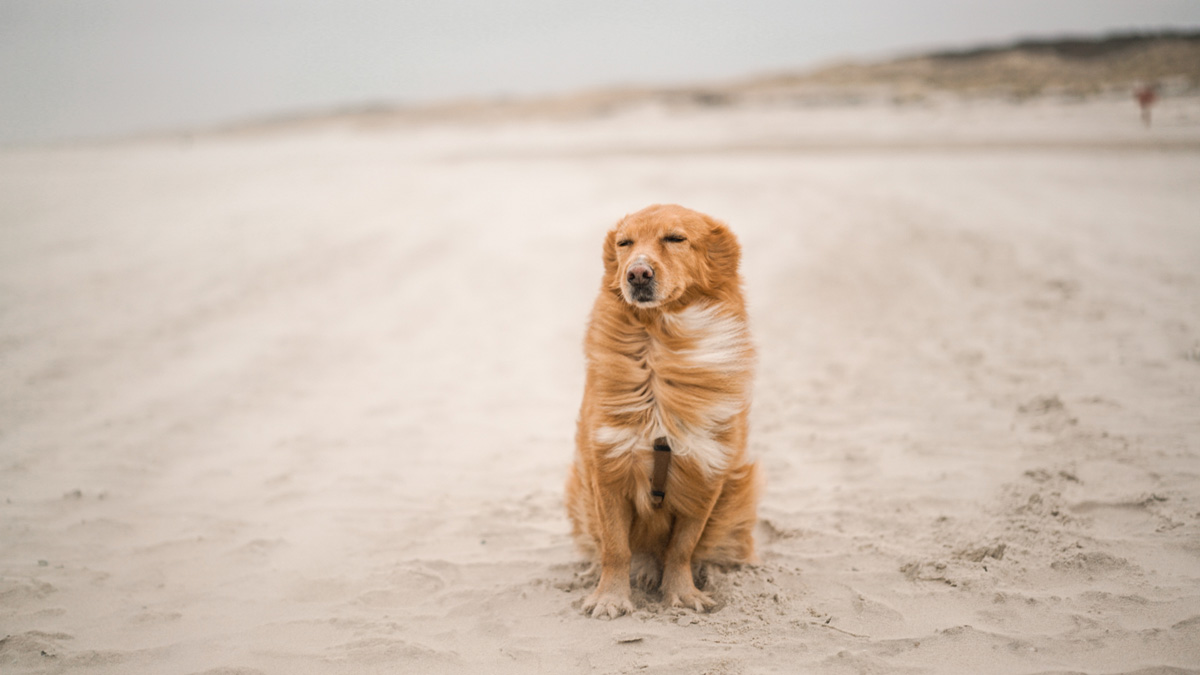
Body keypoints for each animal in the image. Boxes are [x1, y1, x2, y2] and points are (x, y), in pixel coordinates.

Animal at [564, 204, 753, 614]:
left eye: (675, 238)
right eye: (625, 243)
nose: (637, 273)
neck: (661, 340)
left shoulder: (706, 471)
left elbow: (682, 547)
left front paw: (682, 593)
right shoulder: (608, 466)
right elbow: (615, 547)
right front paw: (609, 597)